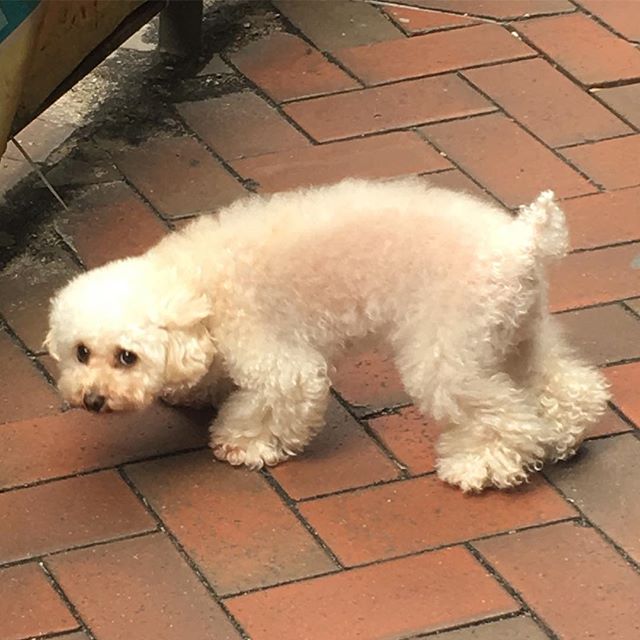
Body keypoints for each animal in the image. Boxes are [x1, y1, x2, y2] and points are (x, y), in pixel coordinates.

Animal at [47, 179, 608, 490]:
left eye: (126, 357)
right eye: (81, 352)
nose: (91, 400)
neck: (198, 282)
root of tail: (523, 241)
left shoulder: (278, 359)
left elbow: (275, 403)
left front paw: (246, 443)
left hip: (447, 355)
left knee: (507, 419)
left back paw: (480, 467)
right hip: (514, 335)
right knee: (567, 387)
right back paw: (565, 435)